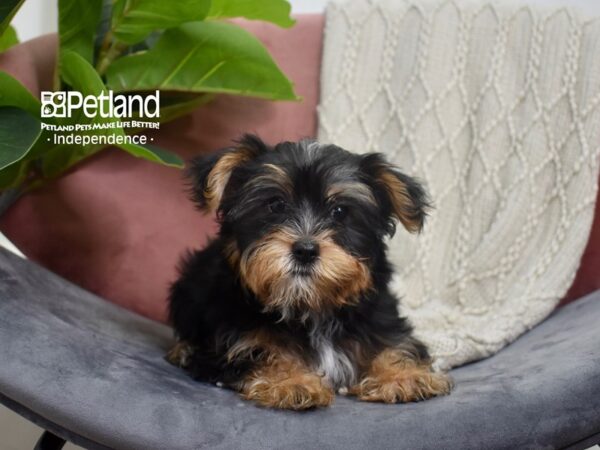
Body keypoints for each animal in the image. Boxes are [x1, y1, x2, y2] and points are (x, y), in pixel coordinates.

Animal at [166, 135, 452, 410]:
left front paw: (403, 377)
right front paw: (291, 382)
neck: (310, 305)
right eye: (276, 205)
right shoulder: (233, 340)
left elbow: (394, 345)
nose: (305, 250)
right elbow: (262, 351)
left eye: (339, 211)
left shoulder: (379, 318)